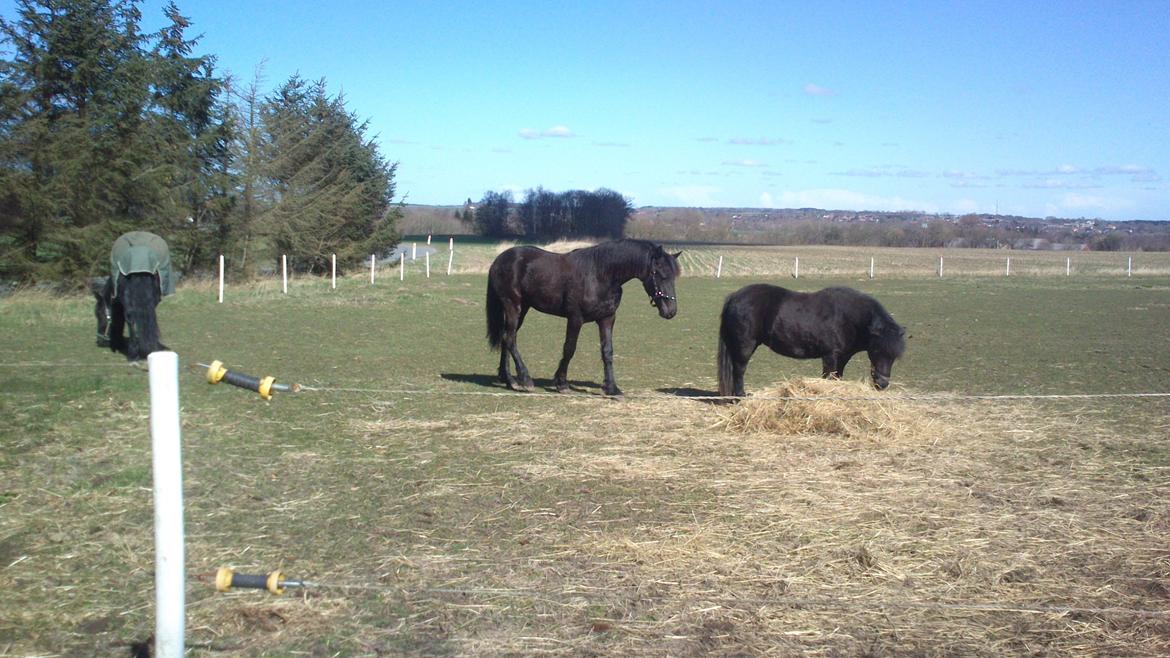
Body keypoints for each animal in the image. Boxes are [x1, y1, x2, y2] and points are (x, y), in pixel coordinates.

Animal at [486, 240, 683, 393]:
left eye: (674, 277)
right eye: (660, 274)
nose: (671, 311)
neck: (601, 275)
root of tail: (500, 260)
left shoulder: (607, 319)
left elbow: (607, 351)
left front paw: (611, 388)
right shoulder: (575, 319)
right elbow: (569, 349)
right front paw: (561, 383)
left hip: (523, 308)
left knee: (507, 338)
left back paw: (509, 379)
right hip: (513, 306)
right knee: (509, 338)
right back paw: (524, 379)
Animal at [716, 283, 907, 393]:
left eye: (895, 356)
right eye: (876, 350)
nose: (882, 384)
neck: (849, 317)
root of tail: (734, 297)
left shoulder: (842, 357)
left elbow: (836, 378)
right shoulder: (830, 355)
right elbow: (828, 377)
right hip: (745, 346)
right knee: (739, 371)